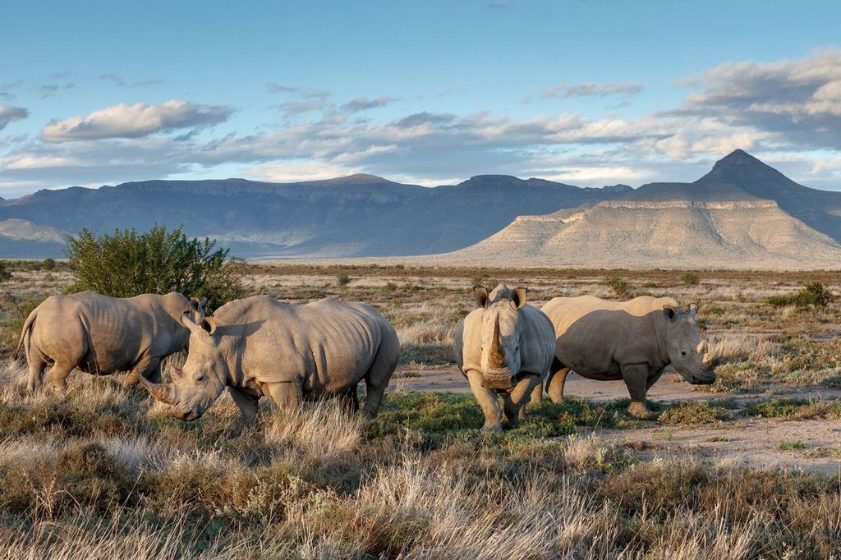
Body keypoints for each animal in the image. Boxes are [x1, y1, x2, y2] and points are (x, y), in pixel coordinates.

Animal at [16, 292, 206, 392]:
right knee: (68, 359)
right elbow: (135, 376)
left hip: (46, 322)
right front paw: (124, 394)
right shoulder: (150, 354)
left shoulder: (156, 355)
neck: (184, 315)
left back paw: (35, 394)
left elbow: (155, 379)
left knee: (36, 364)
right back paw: (65, 394)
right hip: (63, 323)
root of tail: (38, 310)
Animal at [139, 295, 400, 423]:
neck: (224, 341)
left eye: (200, 378)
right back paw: (348, 426)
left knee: (376, 381)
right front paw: (247, 435)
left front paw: (292, 435)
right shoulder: (236, 376)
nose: (179, 416)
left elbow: (291, 412)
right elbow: (247, 412)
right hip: (353, 334)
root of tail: (377, 313)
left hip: (386, 332)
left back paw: (364, 425)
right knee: (347, 385)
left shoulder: (283, 378)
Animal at [453, 284, 556, 431]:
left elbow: (517, 398)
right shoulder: (472, 367)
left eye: (517, 348)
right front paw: (490, 431)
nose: (498, 380)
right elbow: (487, 401)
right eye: (481, 348)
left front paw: (514, 425)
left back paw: (522, 420)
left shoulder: (531, 368)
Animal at [536, 295, 717, 418]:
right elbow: (637, 386)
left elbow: (644, 387)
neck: (665, 328)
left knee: (561, 366)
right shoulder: (634, 360)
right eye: (683, 353)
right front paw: (643, 416)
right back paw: (537, 407)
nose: (707, 379)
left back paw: (562, 406)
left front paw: (635, 412)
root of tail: (547, 306)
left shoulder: (656, 360)